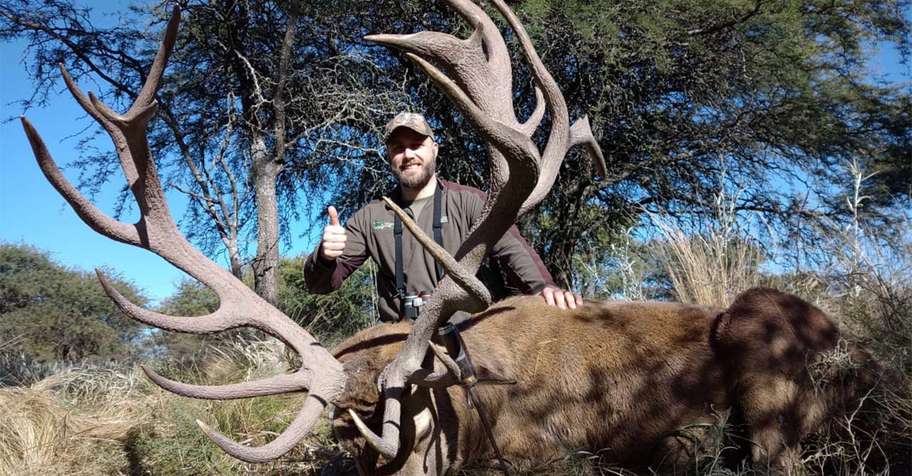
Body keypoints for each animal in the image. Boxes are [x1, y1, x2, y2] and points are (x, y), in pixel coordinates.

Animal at [22, 2, 884, 475]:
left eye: (411, 425)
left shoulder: (558, 456)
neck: (475, 410)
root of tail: (866, 364)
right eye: (348, 440)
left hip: (765, 348)